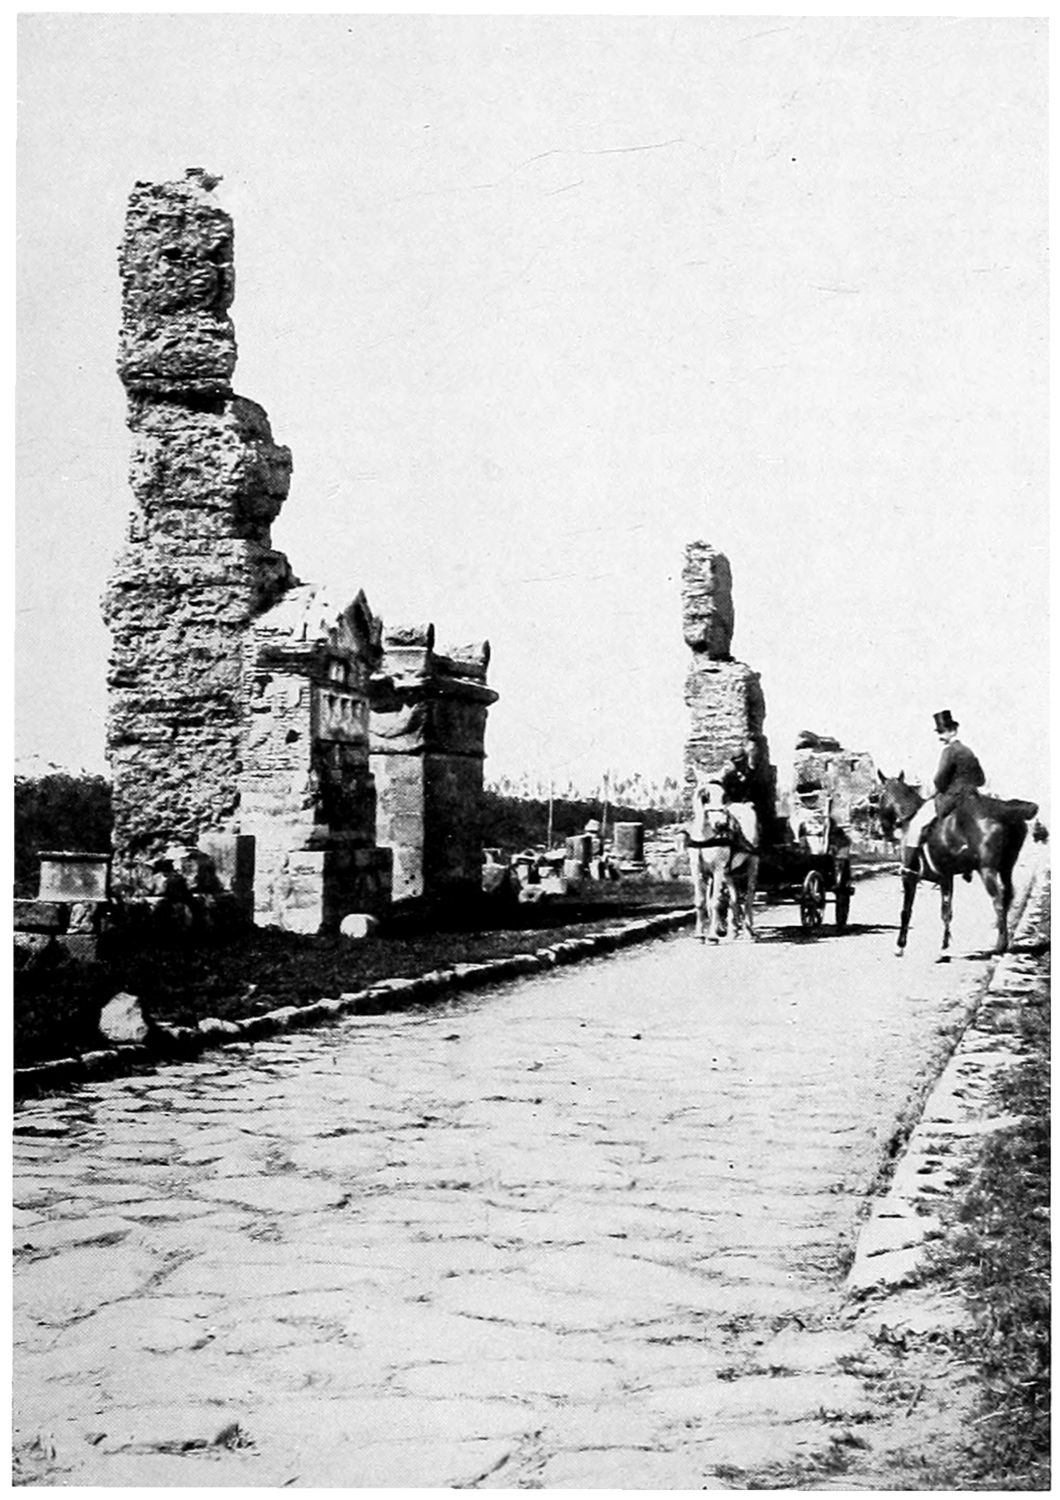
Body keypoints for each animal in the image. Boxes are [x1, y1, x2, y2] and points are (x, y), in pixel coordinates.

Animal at [875, 774, 1043, 960]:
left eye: (878, 795)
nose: (883, 829)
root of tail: (1006, 812)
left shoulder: (910, 877)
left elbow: (907, 911)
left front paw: (901, 946)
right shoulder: (946, 877)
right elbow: (947, 912)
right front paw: (944, 946)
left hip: (987, 870)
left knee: (998, 901)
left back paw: (999, 945)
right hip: (1006, 868)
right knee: (1007, 896)